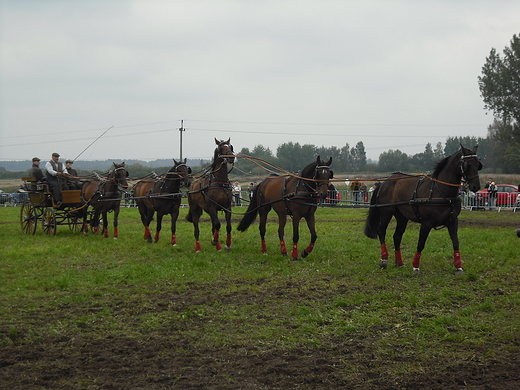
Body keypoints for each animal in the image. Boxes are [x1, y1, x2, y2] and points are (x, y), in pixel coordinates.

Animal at [364, 143, 482, 274]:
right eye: (467, 165)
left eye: (478, 165)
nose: (476, 186)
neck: (440, 191)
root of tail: (384, 183)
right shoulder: (426, 223)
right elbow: (421, 243)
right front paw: (415, 266)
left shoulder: (453, 221)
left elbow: (456, 242)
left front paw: (459, 266)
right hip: (386, 212)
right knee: (381, 231)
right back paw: (384, 259)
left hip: (402, 217)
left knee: (397, 236)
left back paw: (399, 262)